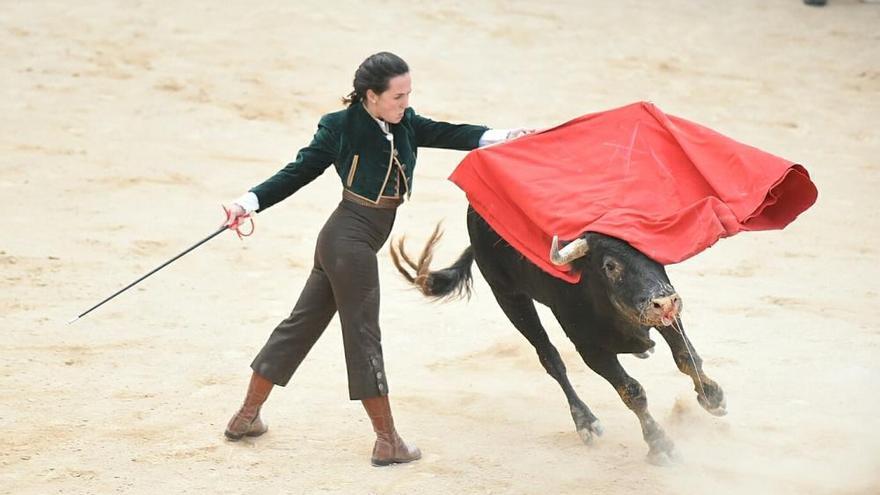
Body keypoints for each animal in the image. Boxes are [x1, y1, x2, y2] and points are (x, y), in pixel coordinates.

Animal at [392, 206, 728, 464]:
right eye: (610, 265)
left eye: (657, 254)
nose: (666, 300)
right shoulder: (589, 348)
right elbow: (632, 391)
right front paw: (661, 446)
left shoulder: (662, 315)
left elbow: (686, 356)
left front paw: (713, 397)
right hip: (508, 296)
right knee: (549, 357)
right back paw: (585, 422)